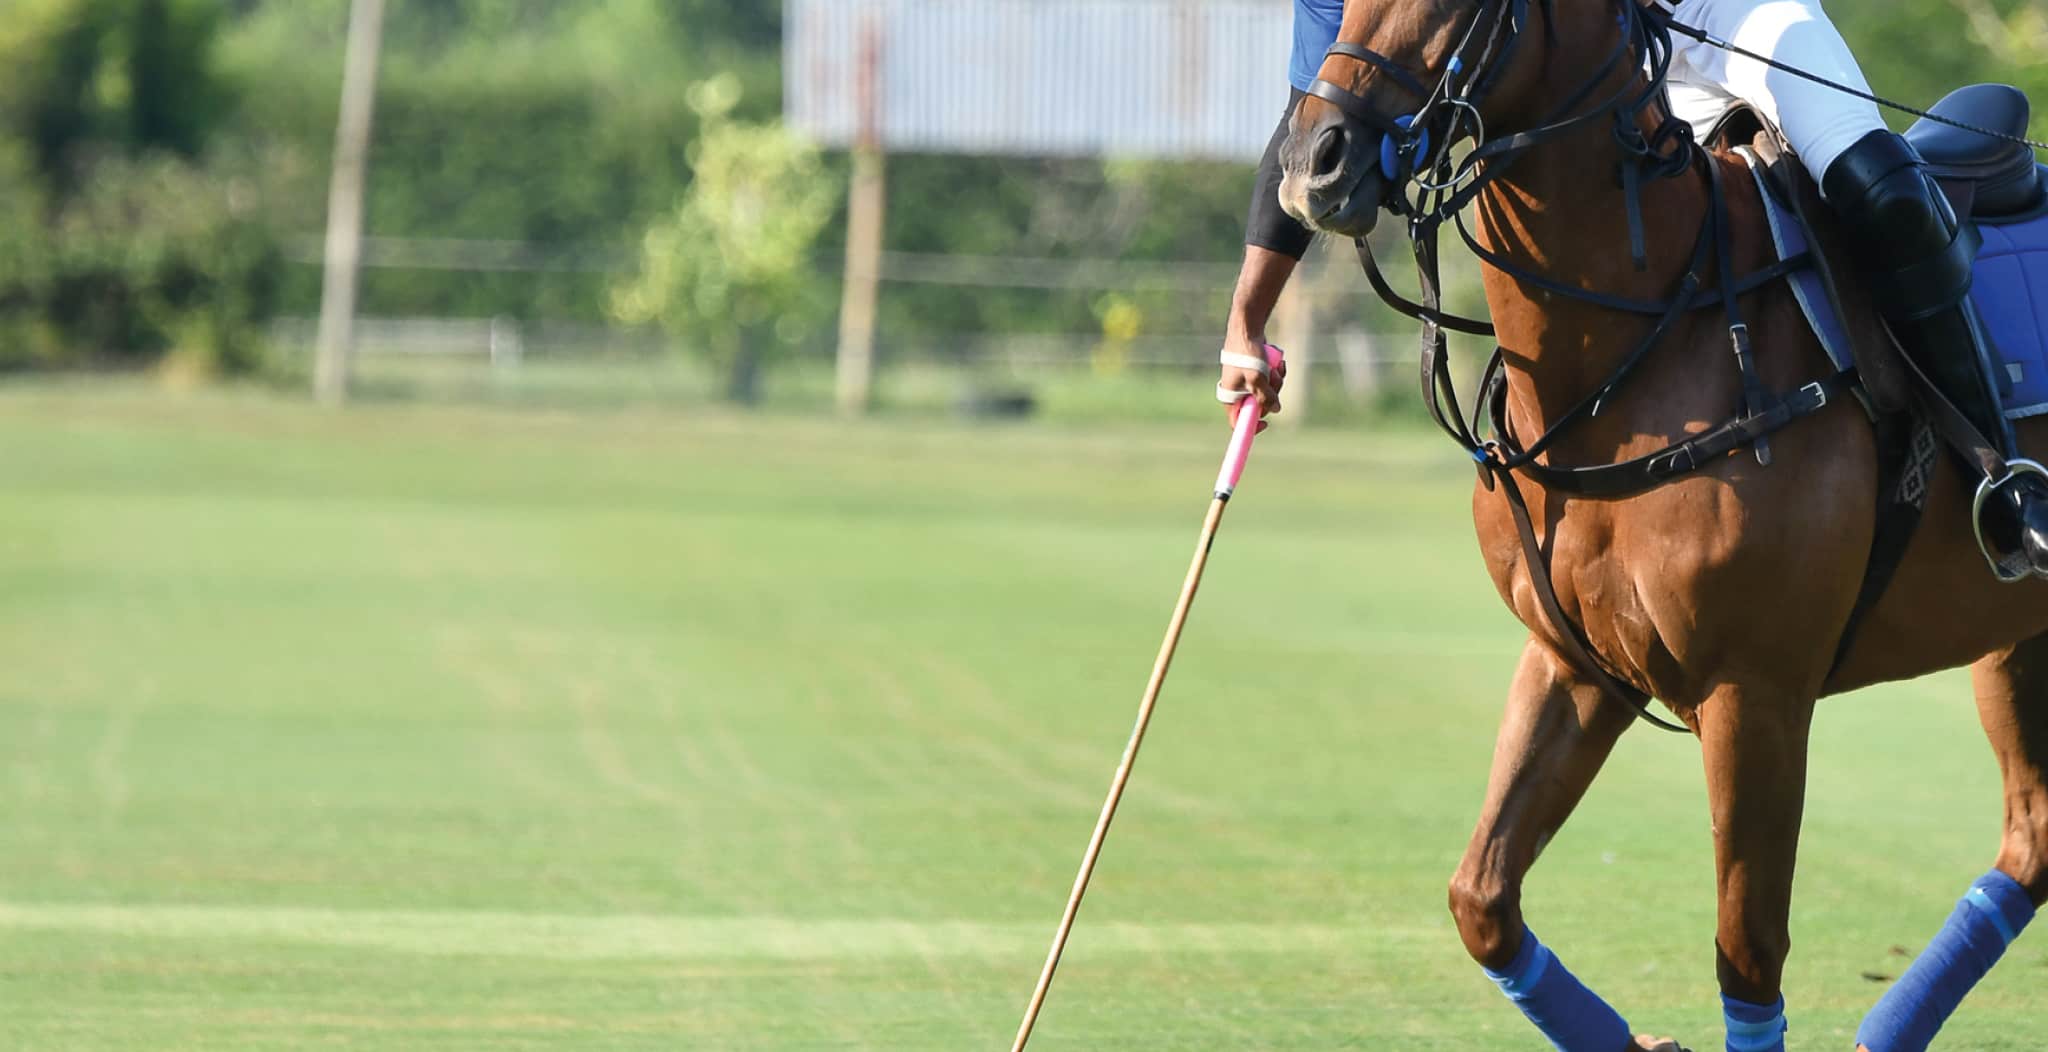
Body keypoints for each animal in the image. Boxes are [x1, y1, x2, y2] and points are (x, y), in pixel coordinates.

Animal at [1272, 0, 2048, 1048]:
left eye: (1463, 6)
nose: (1314, 162)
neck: (1638, 348)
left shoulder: (1755, 692)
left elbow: (1747, 951)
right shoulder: (1574, 663)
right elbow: (1482, 899)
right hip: (2015, 642)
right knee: (2032, 839)